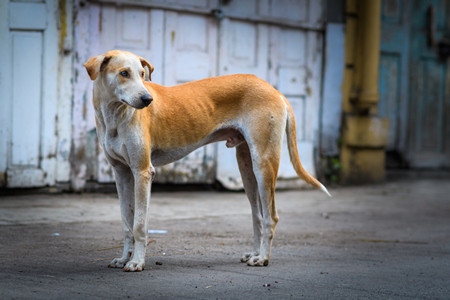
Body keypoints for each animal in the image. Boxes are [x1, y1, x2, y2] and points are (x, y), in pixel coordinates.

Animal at [85, 49, 330, 272]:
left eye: (143, 74)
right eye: (124, 73)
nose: (147, 99)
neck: (115, 116)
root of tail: (274, 90)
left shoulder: (143, 172)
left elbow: (139, 225)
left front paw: (136, 262)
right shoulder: (122, 173)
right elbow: (127, 222)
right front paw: (123, 259)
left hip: (264, 165)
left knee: (271, 217)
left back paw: (262, 258)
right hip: (247, 171)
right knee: (258, 216)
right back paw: (255, 253)